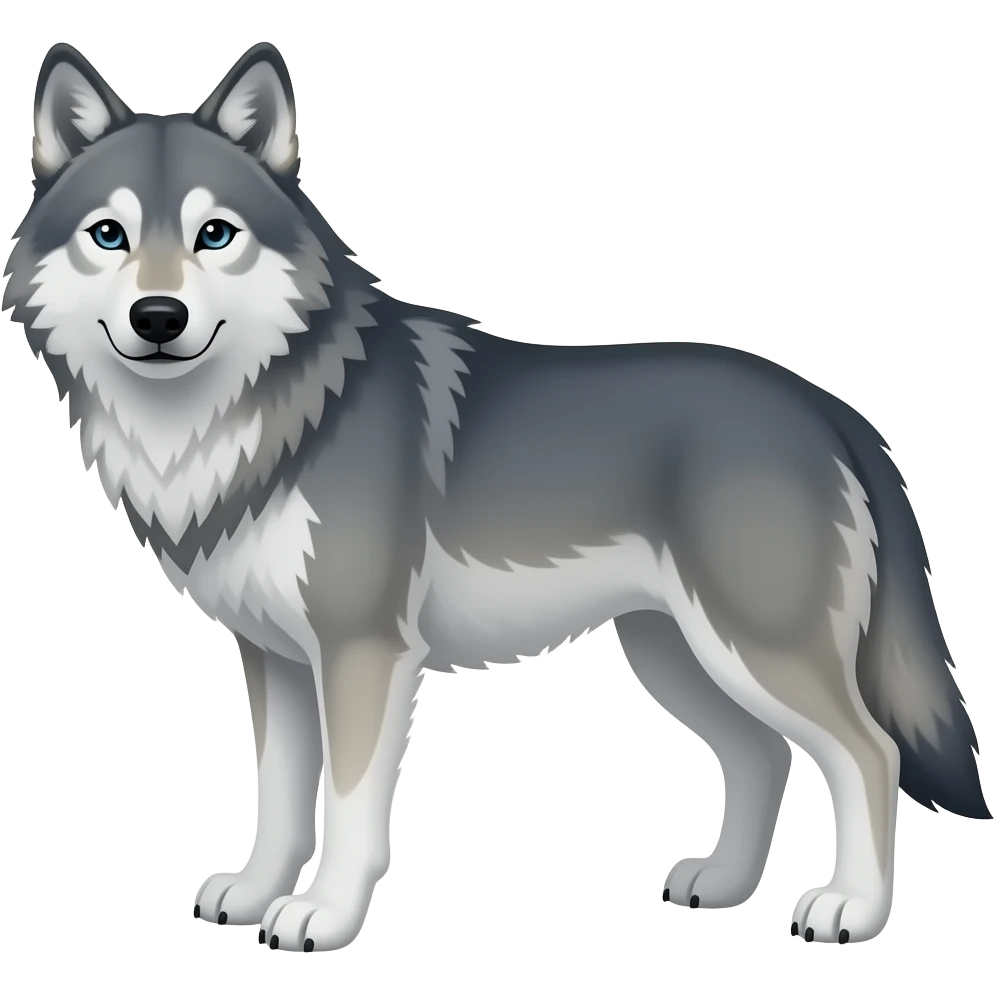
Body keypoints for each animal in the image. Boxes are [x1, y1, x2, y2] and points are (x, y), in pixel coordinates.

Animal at [3, 40, 989, 954]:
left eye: (214, 234)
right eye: (108, 236)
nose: (158, 318)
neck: (248, 421)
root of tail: (830, 408)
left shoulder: (363, 653)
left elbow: (347, 803)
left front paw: (323, 914)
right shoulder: (274, 658)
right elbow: (279, 798)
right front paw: (252, 893)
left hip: (751, 647)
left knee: (867, 751)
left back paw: (850, 908)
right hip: (676, 652)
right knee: (764, 751)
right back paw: (721, 883)